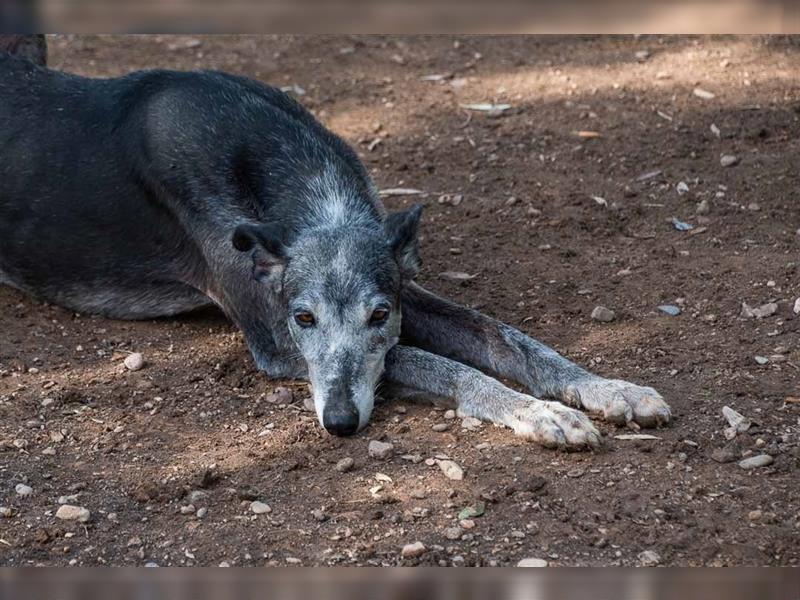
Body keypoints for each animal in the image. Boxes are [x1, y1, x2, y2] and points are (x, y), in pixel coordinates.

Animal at [0, 37, 668, 448]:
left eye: (379, 314)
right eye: (304, 318)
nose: (341, 423)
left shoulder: (401, 287)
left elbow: (509, 340)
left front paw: (607, 388)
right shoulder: (276, 340)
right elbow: (440, 363)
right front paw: (539, 413)